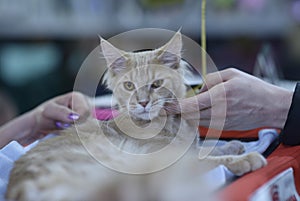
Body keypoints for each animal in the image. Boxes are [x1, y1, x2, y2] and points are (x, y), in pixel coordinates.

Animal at [5, 31, 266, 201]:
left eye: (157, 84)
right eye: (129, 86)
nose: (142, 103)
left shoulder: (184, 149)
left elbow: (205, 148)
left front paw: (232, 145)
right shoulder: (166, 158)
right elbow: (206, 159)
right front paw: (244, 158)